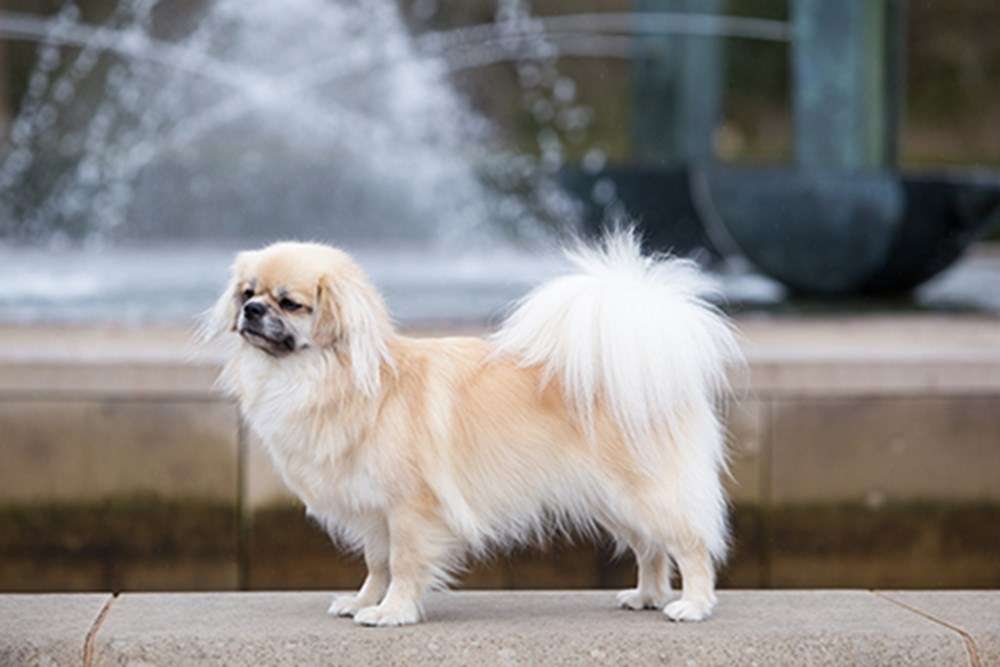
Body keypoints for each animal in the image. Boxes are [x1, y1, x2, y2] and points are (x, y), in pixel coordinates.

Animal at [199, 230, 744, 628]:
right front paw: (363, 602)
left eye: (289, 303)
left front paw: (392, 612)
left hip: (646, 492)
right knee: (650, 548)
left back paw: (693, 605)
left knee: (691, 545)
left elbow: (405, 565)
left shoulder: (409, 511)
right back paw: (647, 596)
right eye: (247, 293)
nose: (251, 310)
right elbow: (378, 565)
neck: (330, 379)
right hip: (615, 501)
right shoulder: (375, 513)